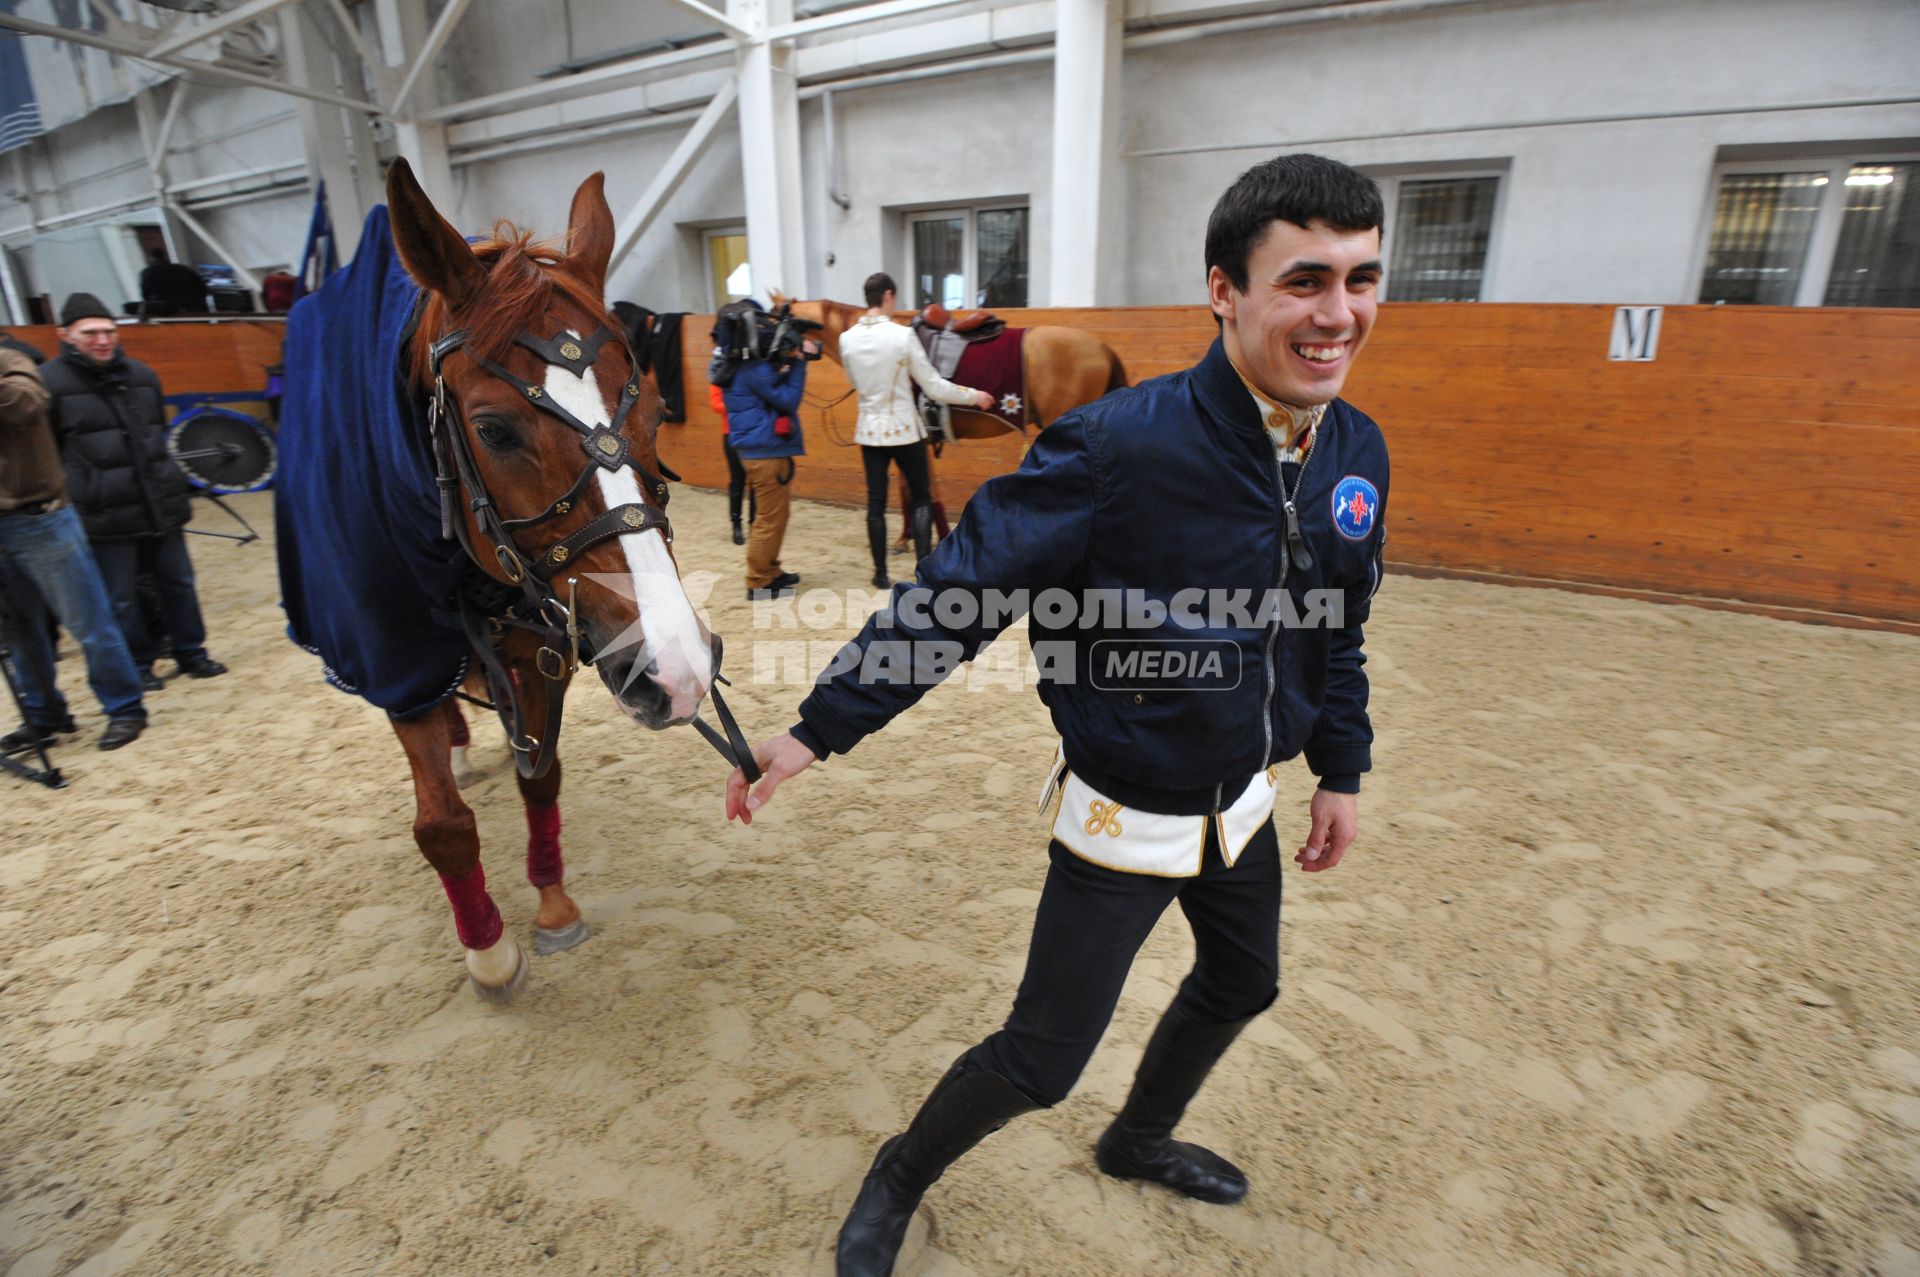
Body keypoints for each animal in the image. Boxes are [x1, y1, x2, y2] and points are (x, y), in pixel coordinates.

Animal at [280, 159, 733, 998]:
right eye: (493, 429)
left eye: (657, 409)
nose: (677, 667)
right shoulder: (397, 661)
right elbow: (442, 824)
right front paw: (488, 950)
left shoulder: (536, 650)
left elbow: (541, 777)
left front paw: (553, 905)